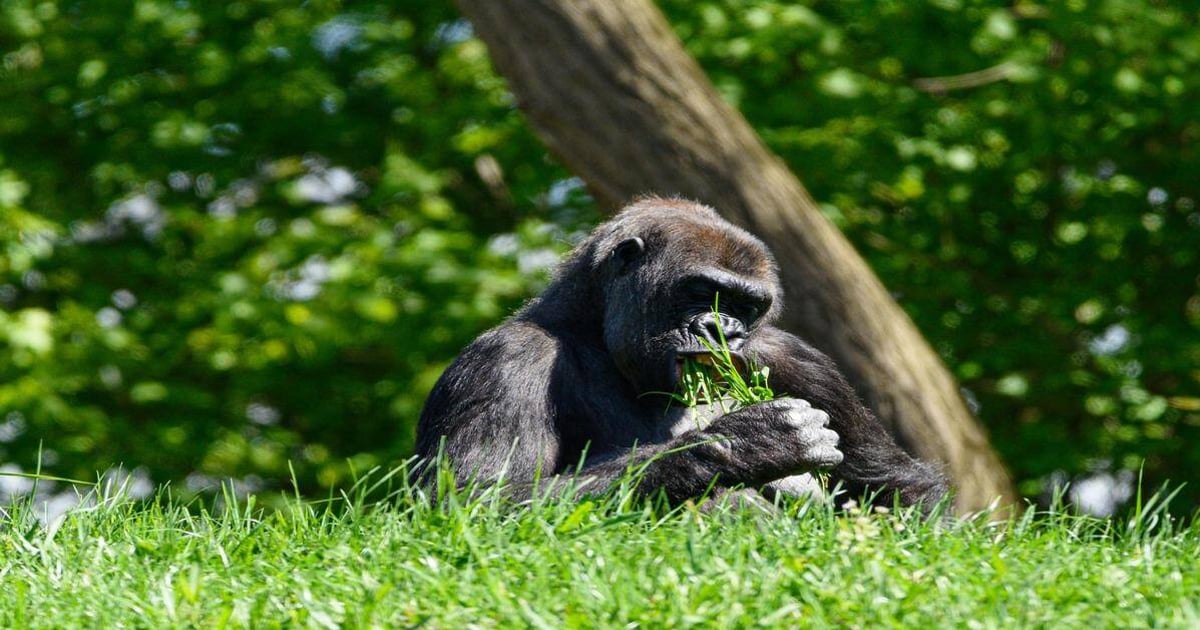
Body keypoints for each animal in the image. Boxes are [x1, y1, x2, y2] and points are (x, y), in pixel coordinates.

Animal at [415, 197, 948, 510]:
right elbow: (478, 501)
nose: (724, 331)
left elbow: (897, 484)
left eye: (744, 306)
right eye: (702, 292)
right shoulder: (504, 362)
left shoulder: (796, 358)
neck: (593, 329)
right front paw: (745, 443)